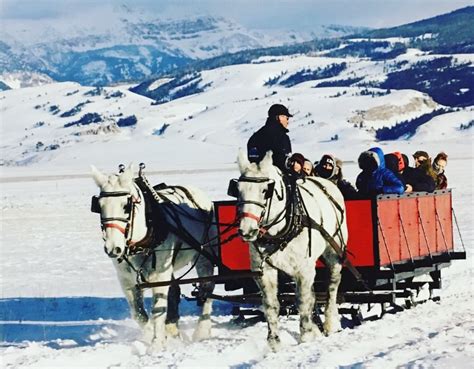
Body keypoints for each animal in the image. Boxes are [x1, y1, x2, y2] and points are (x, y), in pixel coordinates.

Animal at [91, 164, 217, 348]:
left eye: (126, 205)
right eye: (99, 206)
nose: (113, 248)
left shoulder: (159, 276)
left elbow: (158, 311)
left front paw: (157, 344)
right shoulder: (126, 280)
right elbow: (138, 313)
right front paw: (151, 334)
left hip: (204, 256)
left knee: (207, 289)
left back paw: (201, 330)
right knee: (175, 291)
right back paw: (173, 329)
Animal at [236, 151, 348, 350]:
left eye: (265, 190)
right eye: (238, 190)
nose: (247, 230)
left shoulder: (303, 270)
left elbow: (303, 301)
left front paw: (306, 337)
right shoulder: (264, 271)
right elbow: (271, 305)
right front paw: (274, 343)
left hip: (334, 251)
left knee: (332, 287)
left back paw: (330, 323)